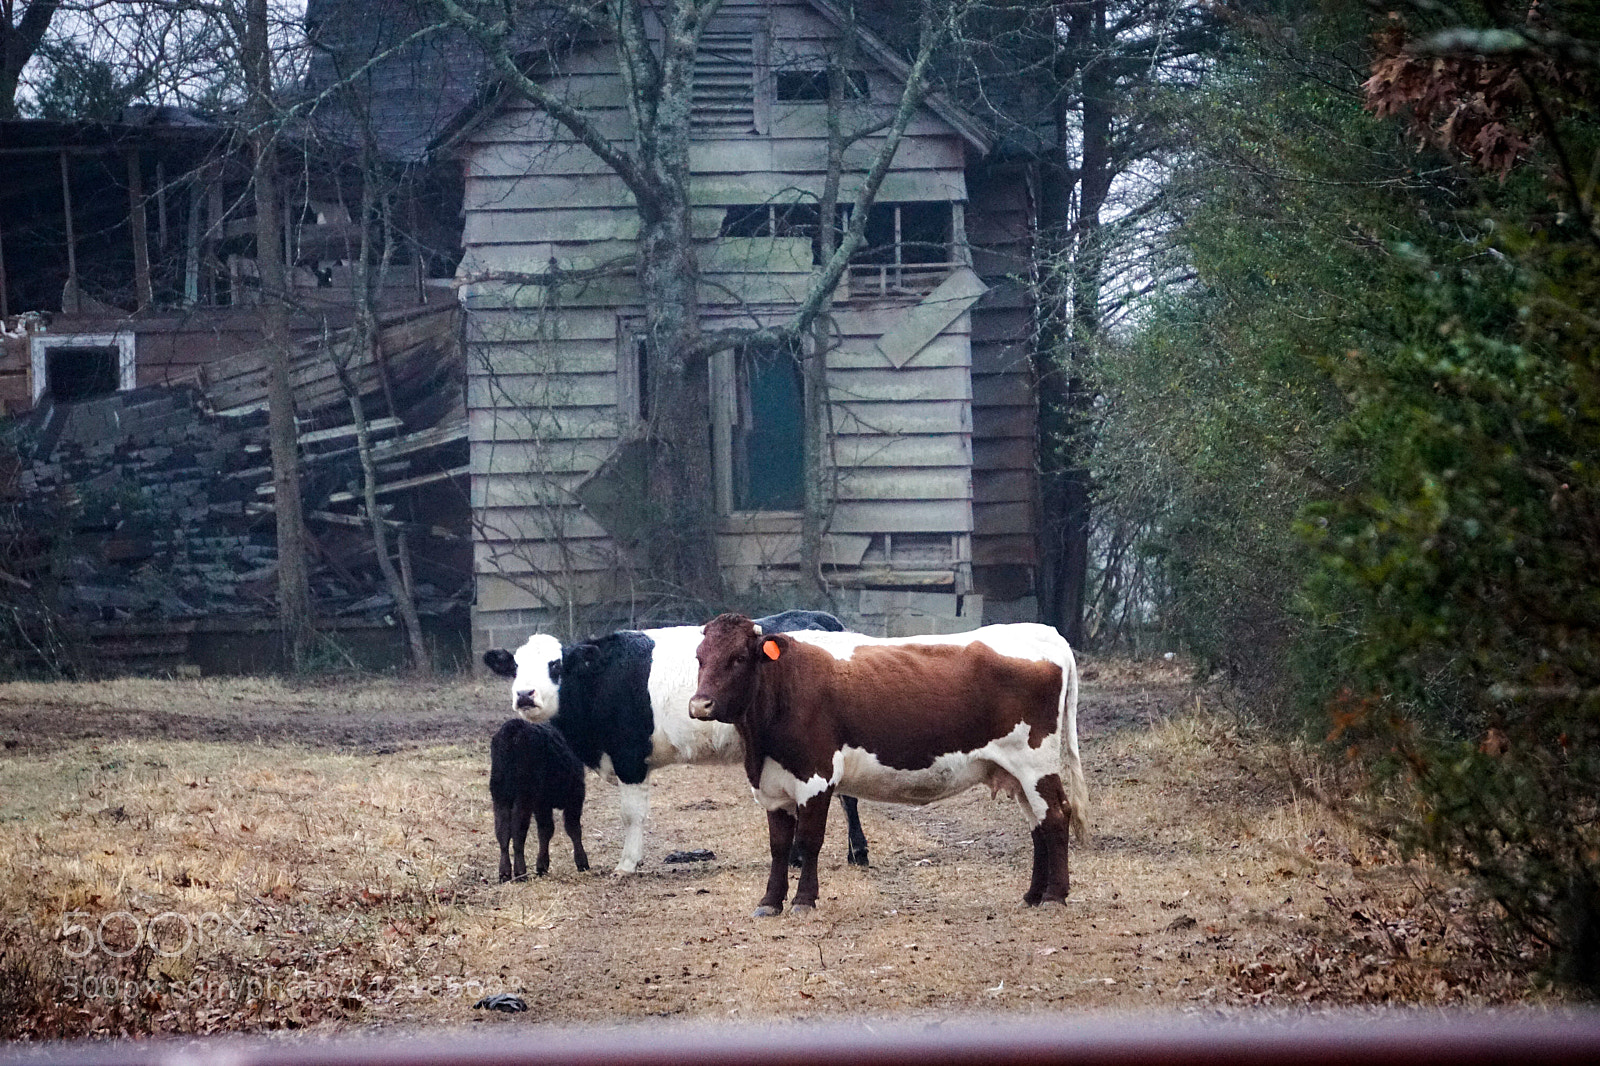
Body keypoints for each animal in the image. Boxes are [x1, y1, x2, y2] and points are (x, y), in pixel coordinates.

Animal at [489, 713, 592, 877]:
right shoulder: (576, 794)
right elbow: (573, 828)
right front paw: (582, 862)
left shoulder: (542, 803)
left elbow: (545, 830)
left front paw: (542, 866)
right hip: (524, 795)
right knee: (518, 831)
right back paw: (520, 872)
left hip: (500, 794)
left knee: (502, 831)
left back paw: (505, 873)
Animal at [691, 614, 1088, 915]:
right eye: (700, 657)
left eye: (738, 658)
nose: (700, 704)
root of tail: (1043, 632)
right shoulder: (772, 785)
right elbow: (778, 845)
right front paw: (770, 902)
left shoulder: (816, 777)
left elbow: (808, 841)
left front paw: (803, 901)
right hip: (1017, 774)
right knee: (1038, 824)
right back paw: (1033, 895)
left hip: (1035, 764)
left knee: (1056, 815)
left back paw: (1054, 896)